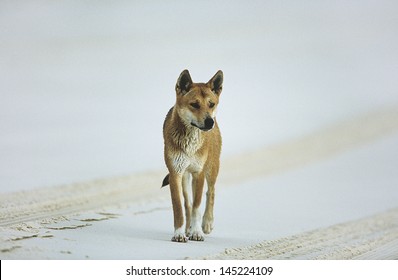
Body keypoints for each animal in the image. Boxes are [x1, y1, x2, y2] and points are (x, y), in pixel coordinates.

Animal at [162, 69, 224, 242]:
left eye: (211, 104)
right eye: (194, 104)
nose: (209, 122)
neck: (190, 143)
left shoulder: (199, 172)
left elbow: (197, 206)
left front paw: (197, 232)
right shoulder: (175, 173)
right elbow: (180, 207)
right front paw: (179, 233)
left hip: (212, 168)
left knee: (211, 192)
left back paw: (207, 223)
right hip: (184, 176)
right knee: (187, 203)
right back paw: (187, 229)